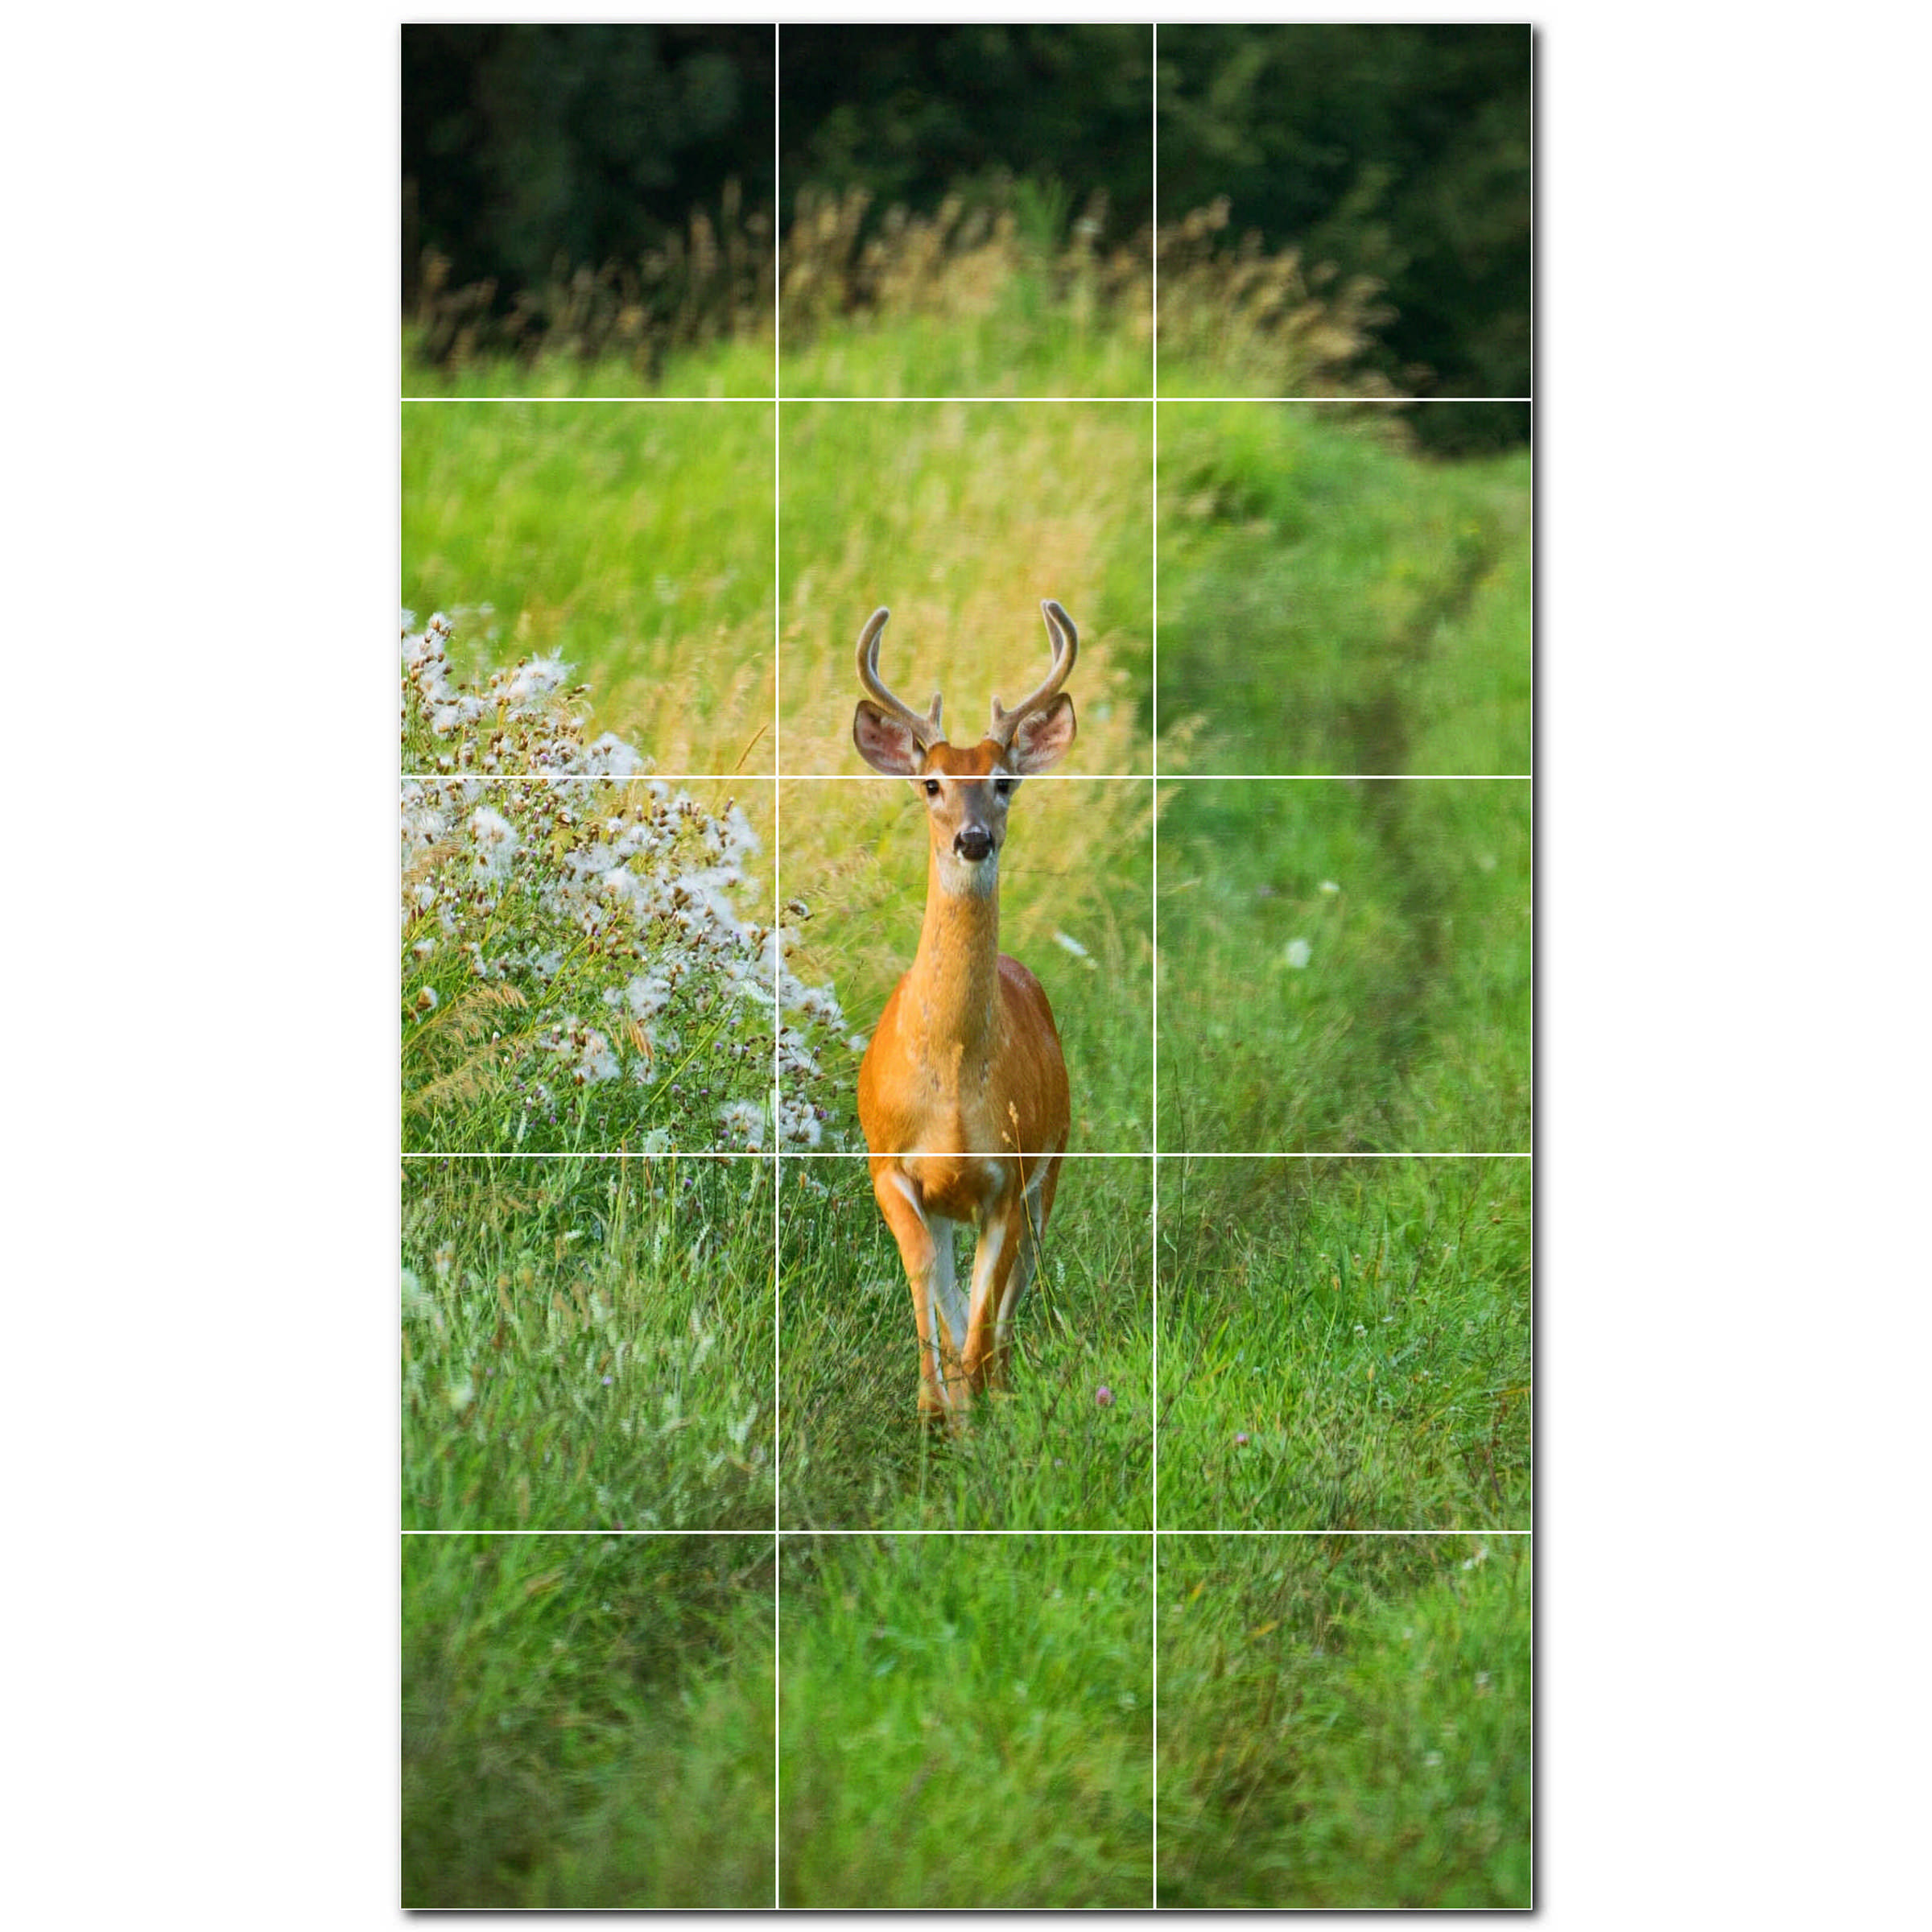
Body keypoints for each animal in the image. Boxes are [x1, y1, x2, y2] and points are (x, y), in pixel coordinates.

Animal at [849, 600, 1080, 1425]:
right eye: (931, 783)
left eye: (1004, 780)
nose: (973, 838)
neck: (951, 1078)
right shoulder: (891, 1165)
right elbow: (932, 1290)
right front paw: (934, 1408)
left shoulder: (1006, 1176)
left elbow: (983, 1311)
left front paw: (976, 1410)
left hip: (1054, 1163)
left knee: (1015, 1290)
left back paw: (1000, 1387)